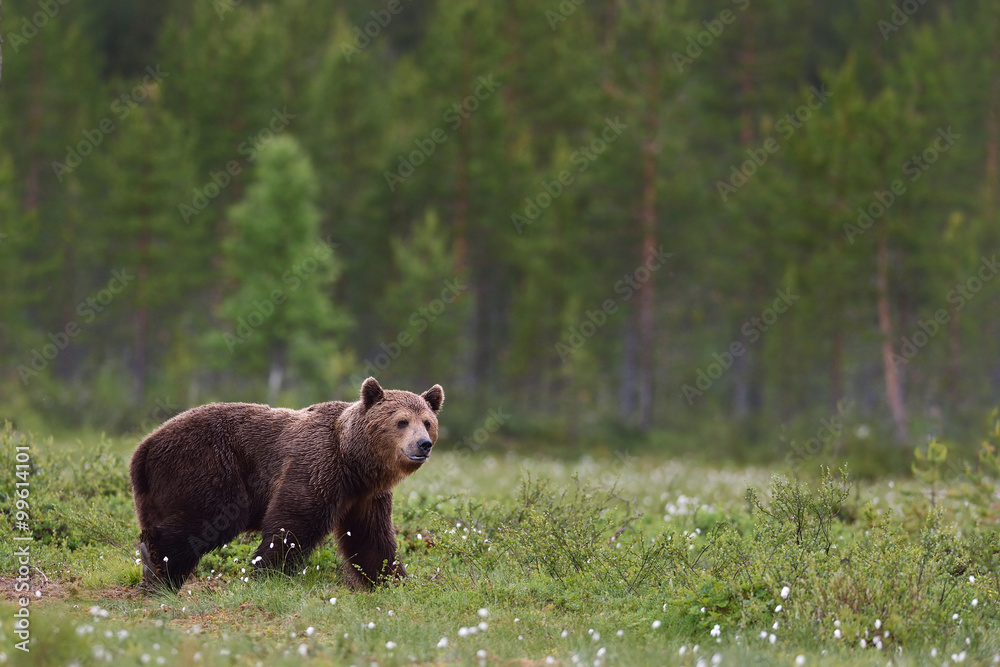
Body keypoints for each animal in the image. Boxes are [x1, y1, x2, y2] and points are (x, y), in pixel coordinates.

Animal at [128, 377, 443, 591]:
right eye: (402, 421)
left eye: (427, 422)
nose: (423, 444)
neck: (353, 461)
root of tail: (143, 448)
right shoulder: (317, 465)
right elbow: (293, 522)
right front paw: (268, 572)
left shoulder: (366, 496)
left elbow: (372, 539)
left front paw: (393, 581)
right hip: (207, 464)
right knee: (206, 519)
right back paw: (159, 569)